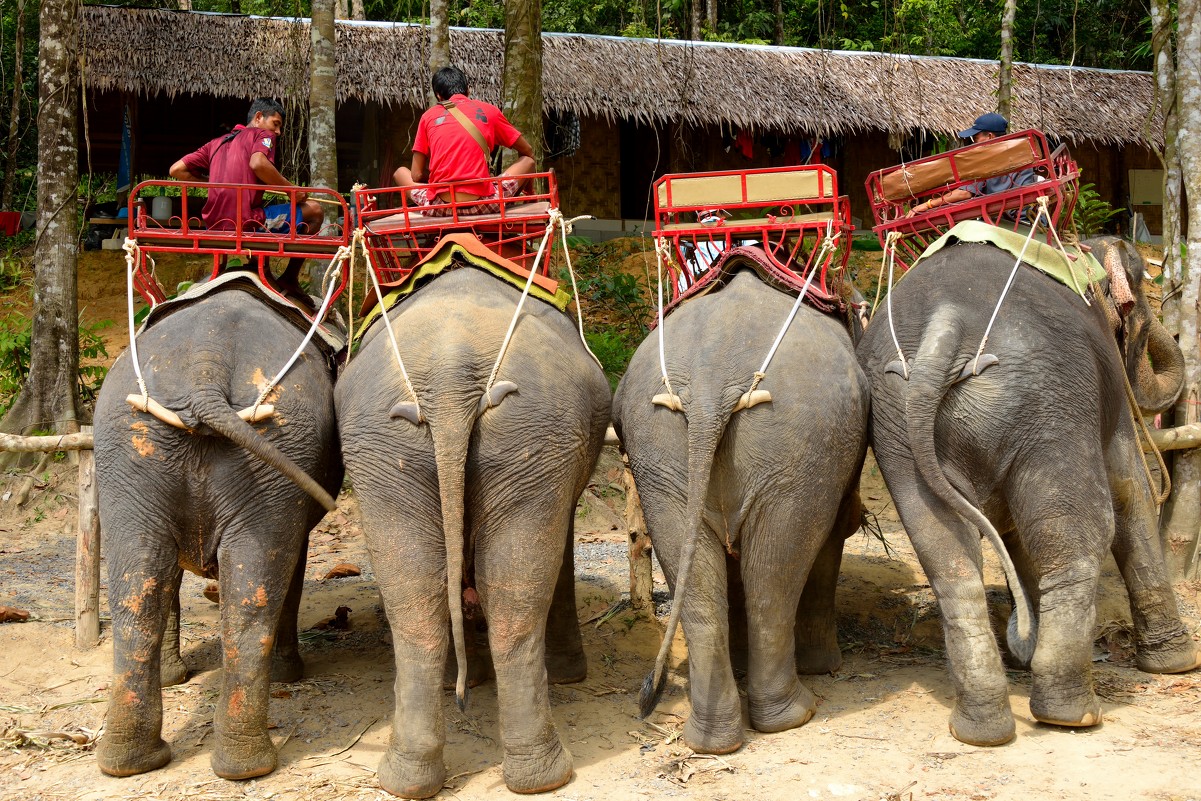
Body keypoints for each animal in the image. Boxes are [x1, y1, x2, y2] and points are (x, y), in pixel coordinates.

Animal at [333, 266, 610, 797]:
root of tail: (449, 367)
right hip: (522, 436)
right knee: (513, 597)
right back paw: (542, 775)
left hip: (394, 449)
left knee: (418, 602)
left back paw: (411, 778)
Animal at [614, 262, 869, 758]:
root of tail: (711, 378)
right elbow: (832, 538)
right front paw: (824, 666)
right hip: (800, 448)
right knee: (775, 573)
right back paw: (795, 714)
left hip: (660, 451)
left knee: (704, 581)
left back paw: (712, 740)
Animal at [859, 235, 1196, 749]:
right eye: (1138, 292)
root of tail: (945, 323)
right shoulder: (1104, 390)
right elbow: (1130, 489)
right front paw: (1179, 664)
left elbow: (1011, 526)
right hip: (1049, 403)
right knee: (1081, 533)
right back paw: (1072, 714)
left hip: (897, 424)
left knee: (947, 556)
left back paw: (981, 730)